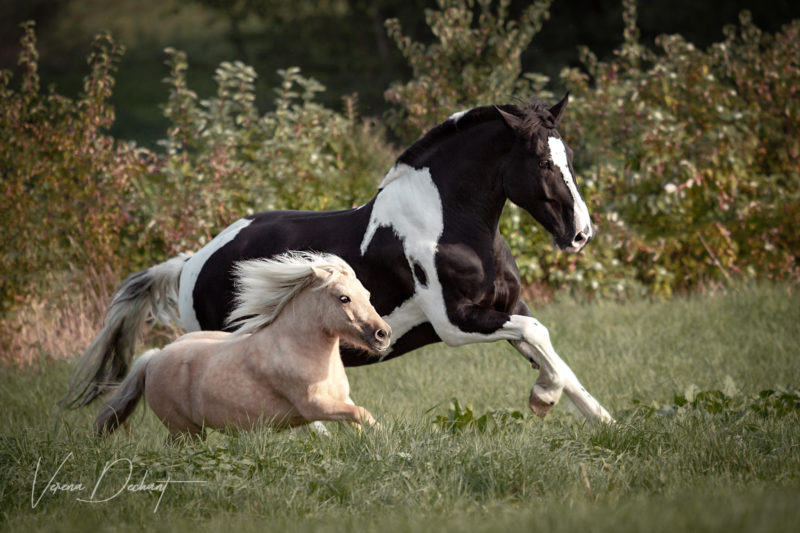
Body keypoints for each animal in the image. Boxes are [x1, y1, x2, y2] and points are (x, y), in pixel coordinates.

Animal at [95, 251, 392, 438]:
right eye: (344, 298)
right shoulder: (315, 406)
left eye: (367, 294)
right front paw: (387, 438)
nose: (383, 334)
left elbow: (359, 420)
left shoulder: (340, 399)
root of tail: (153, 358)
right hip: (185, 430)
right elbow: (360, 413)